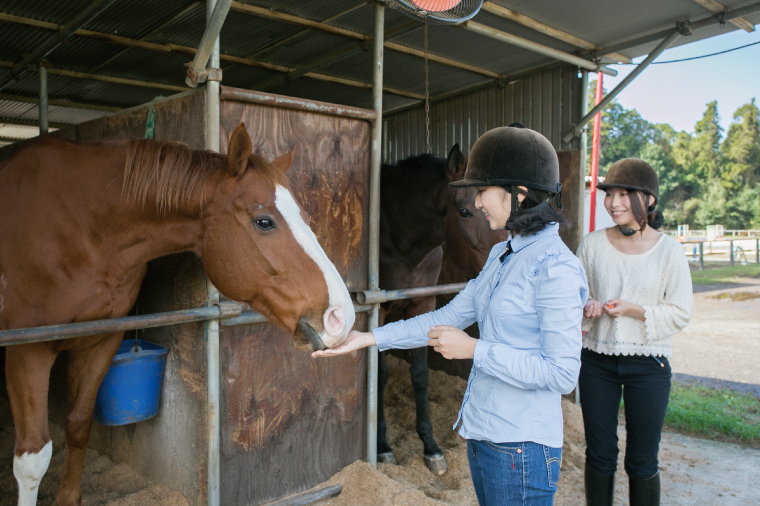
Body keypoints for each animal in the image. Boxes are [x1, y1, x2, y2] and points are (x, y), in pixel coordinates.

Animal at [0, 124, 356, 506]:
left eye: (306, 218)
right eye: (264, 222)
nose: (341, 316)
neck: (86, 227)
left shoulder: (101, 340)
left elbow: (79, 425)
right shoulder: (27, 352)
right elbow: (32, 459)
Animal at [378, 145, 508, 474]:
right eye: (464, 211)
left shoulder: (423, 303)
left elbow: (420, 375)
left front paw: (431, 447)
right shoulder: (379, 310)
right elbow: (381, 374)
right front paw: (382, 446)